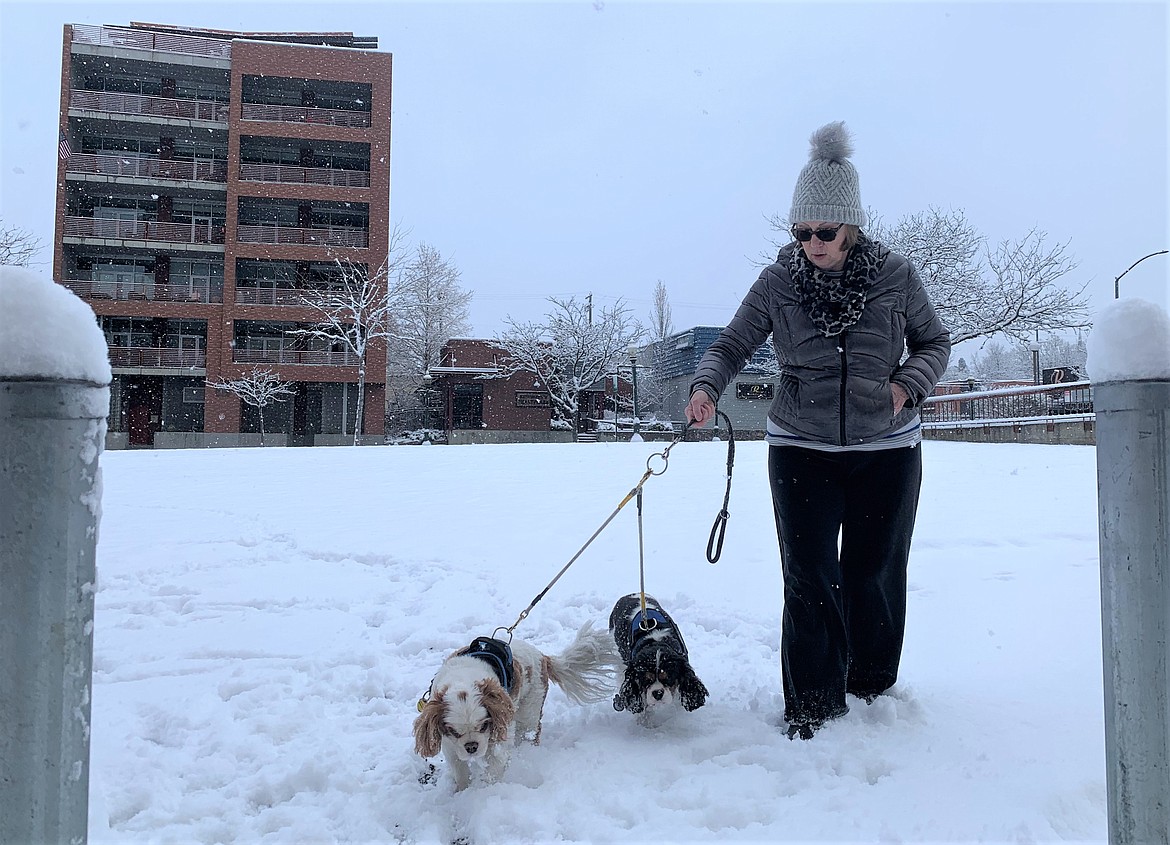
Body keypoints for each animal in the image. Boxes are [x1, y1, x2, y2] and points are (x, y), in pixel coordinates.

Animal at [414, 617, 617, 791]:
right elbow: (460, 769)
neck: (462, 679)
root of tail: (543, 657)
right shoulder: (450, 746)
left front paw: (483, 794)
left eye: (484, 726)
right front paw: (462, 791)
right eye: (454, 731)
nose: (471, 746)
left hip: (530, 711)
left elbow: (495, 766)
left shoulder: (499, 733)